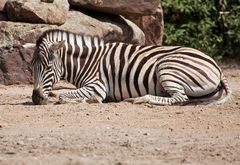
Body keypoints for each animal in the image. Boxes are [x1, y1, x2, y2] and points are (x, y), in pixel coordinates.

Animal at [29, 29, 232, 105]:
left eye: (48, 67)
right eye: (32, 67)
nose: (35, 99)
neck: (88, 61)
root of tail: (216, 65)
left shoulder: (97, 85)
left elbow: (64, 96)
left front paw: (88, 100)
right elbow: (59, 93)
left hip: (166, 67)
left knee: (180, 98)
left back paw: (140, 99)